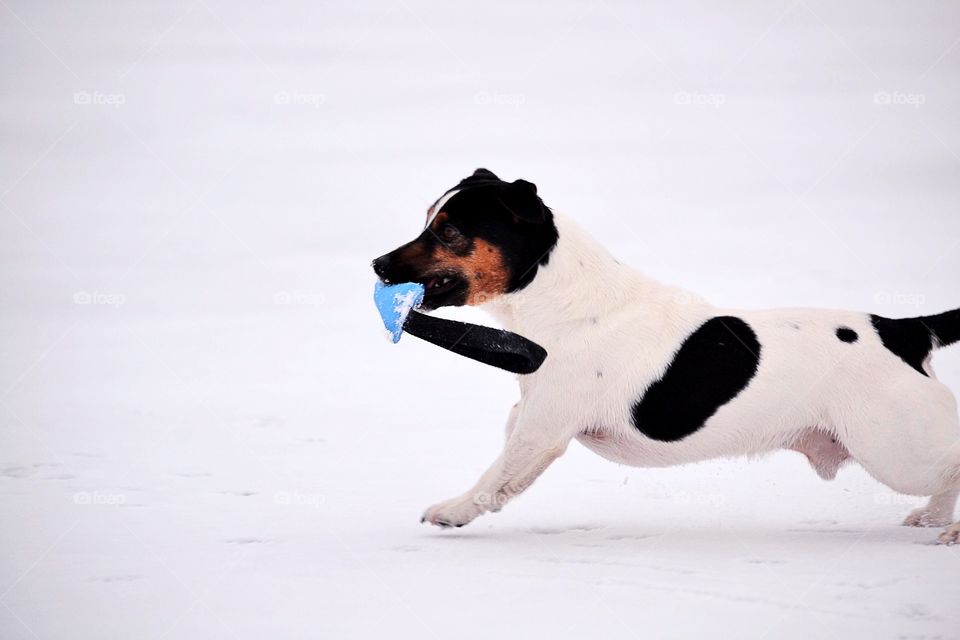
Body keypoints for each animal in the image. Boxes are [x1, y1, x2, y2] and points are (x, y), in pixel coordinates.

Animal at [374, 168, 960, 544]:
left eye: (449, 231)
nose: (378, 265)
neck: (563, 303)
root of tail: (907, 330)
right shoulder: (531, 416)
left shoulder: (541, 432)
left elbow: (493, 480)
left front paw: (452, 512)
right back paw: (932, 522)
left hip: (893, 448)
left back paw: (948, 529)